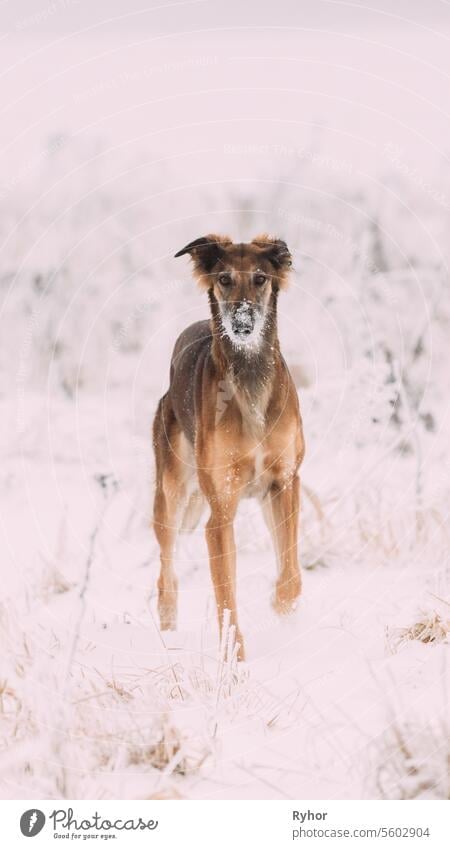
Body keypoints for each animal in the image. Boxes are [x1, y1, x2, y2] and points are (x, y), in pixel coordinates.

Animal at [153, 235, 304, 660]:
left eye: (260, 278)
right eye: (224, 279)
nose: (242, 325)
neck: (250, 380)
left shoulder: (285, 483)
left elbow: (290, 569)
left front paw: (282, 605)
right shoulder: (220, 510)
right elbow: (225, 598)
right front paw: (233, 661)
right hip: (172, 493)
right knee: (166, 569)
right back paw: (168, 631)